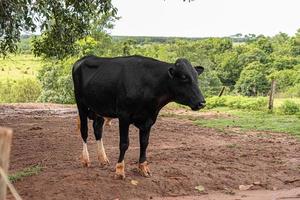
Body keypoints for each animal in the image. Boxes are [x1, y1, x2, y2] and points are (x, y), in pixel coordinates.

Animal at [71, 55, 205, 180]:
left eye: (196, 76)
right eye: (183, 77)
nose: (202, 102)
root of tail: (84, 58)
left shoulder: (149, 119)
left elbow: (144, 143)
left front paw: (143, 168)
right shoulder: (124, 115)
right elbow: (124, 143)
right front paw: (119, 170)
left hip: (99, 107)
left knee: (98, 129)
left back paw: (103, 159)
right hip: (81, 104)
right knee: (84, 131)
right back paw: (85, 159)